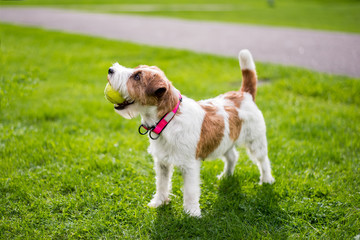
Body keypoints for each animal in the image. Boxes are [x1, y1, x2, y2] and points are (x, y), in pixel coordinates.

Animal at [108, 49, 274, 217]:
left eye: (137, 76)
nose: (110, 70)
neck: (169, 118)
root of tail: (244, 94)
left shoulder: (190, 166)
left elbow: (190, 191)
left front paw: (192, 213)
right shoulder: (162, 163)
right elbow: (161, 184)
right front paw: (159, 202)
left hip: (256, 142)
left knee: (263, 160)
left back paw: (267, 180)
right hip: (224, 141)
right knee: (232, 156)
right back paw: (226, 175)